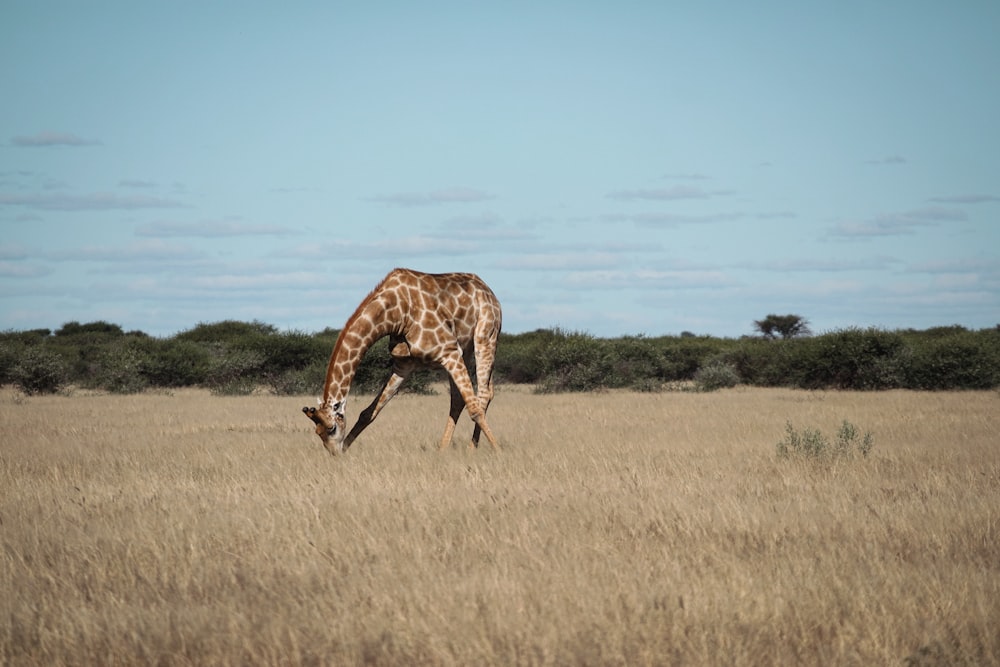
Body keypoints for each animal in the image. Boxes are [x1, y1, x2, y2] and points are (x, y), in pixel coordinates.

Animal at [296, 268, 500, 456]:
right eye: (317, 432)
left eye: (331, 428)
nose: (335, 454)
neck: (396, 313)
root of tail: (488, 291)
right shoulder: (404, 364)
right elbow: (368, 413)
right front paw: (346, 449)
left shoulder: (448, 350)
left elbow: (474, 409)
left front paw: (498, 451)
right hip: (465, 350)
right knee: (461, 398)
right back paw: (443, 449)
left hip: (485, 337)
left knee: (482, 394)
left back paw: (472, 448)